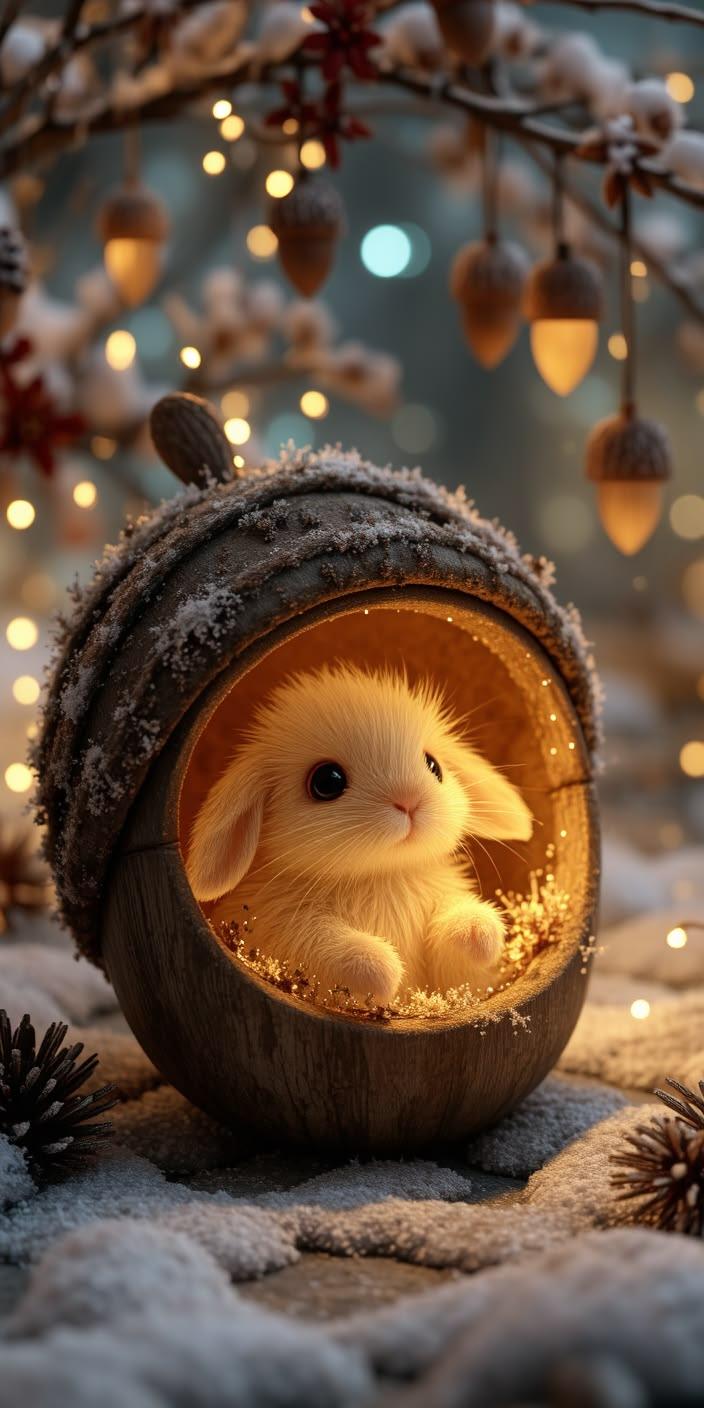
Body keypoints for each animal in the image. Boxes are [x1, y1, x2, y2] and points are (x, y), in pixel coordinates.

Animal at [186, 664, 533, 1004]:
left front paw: (477, 931)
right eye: (327, 781)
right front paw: (385, 969)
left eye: (434, 766)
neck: (381, 876)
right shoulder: (281, 928)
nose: (409, 800)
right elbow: (323, 946)